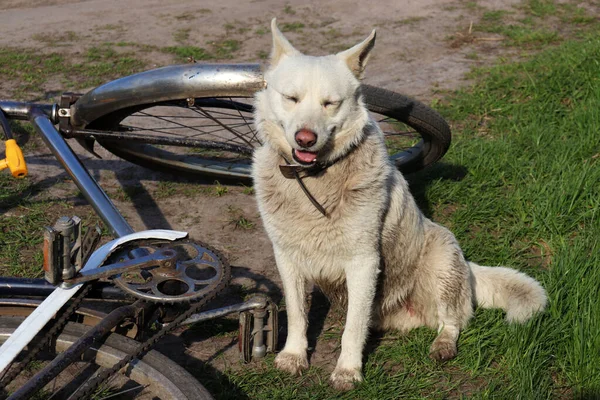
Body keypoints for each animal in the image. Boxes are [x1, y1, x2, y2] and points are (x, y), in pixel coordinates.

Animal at [251, 19, 548, 390]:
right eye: (291, 98)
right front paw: (293, 356)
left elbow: (352, 329)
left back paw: (442, 346)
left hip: (442, 262)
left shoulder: (363, 261)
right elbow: (297, 314)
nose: (306, 139)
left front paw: (348, 371)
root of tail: (469, 268)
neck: (315, 180)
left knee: (452, 321)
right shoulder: (287, 258)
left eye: (330, 103)